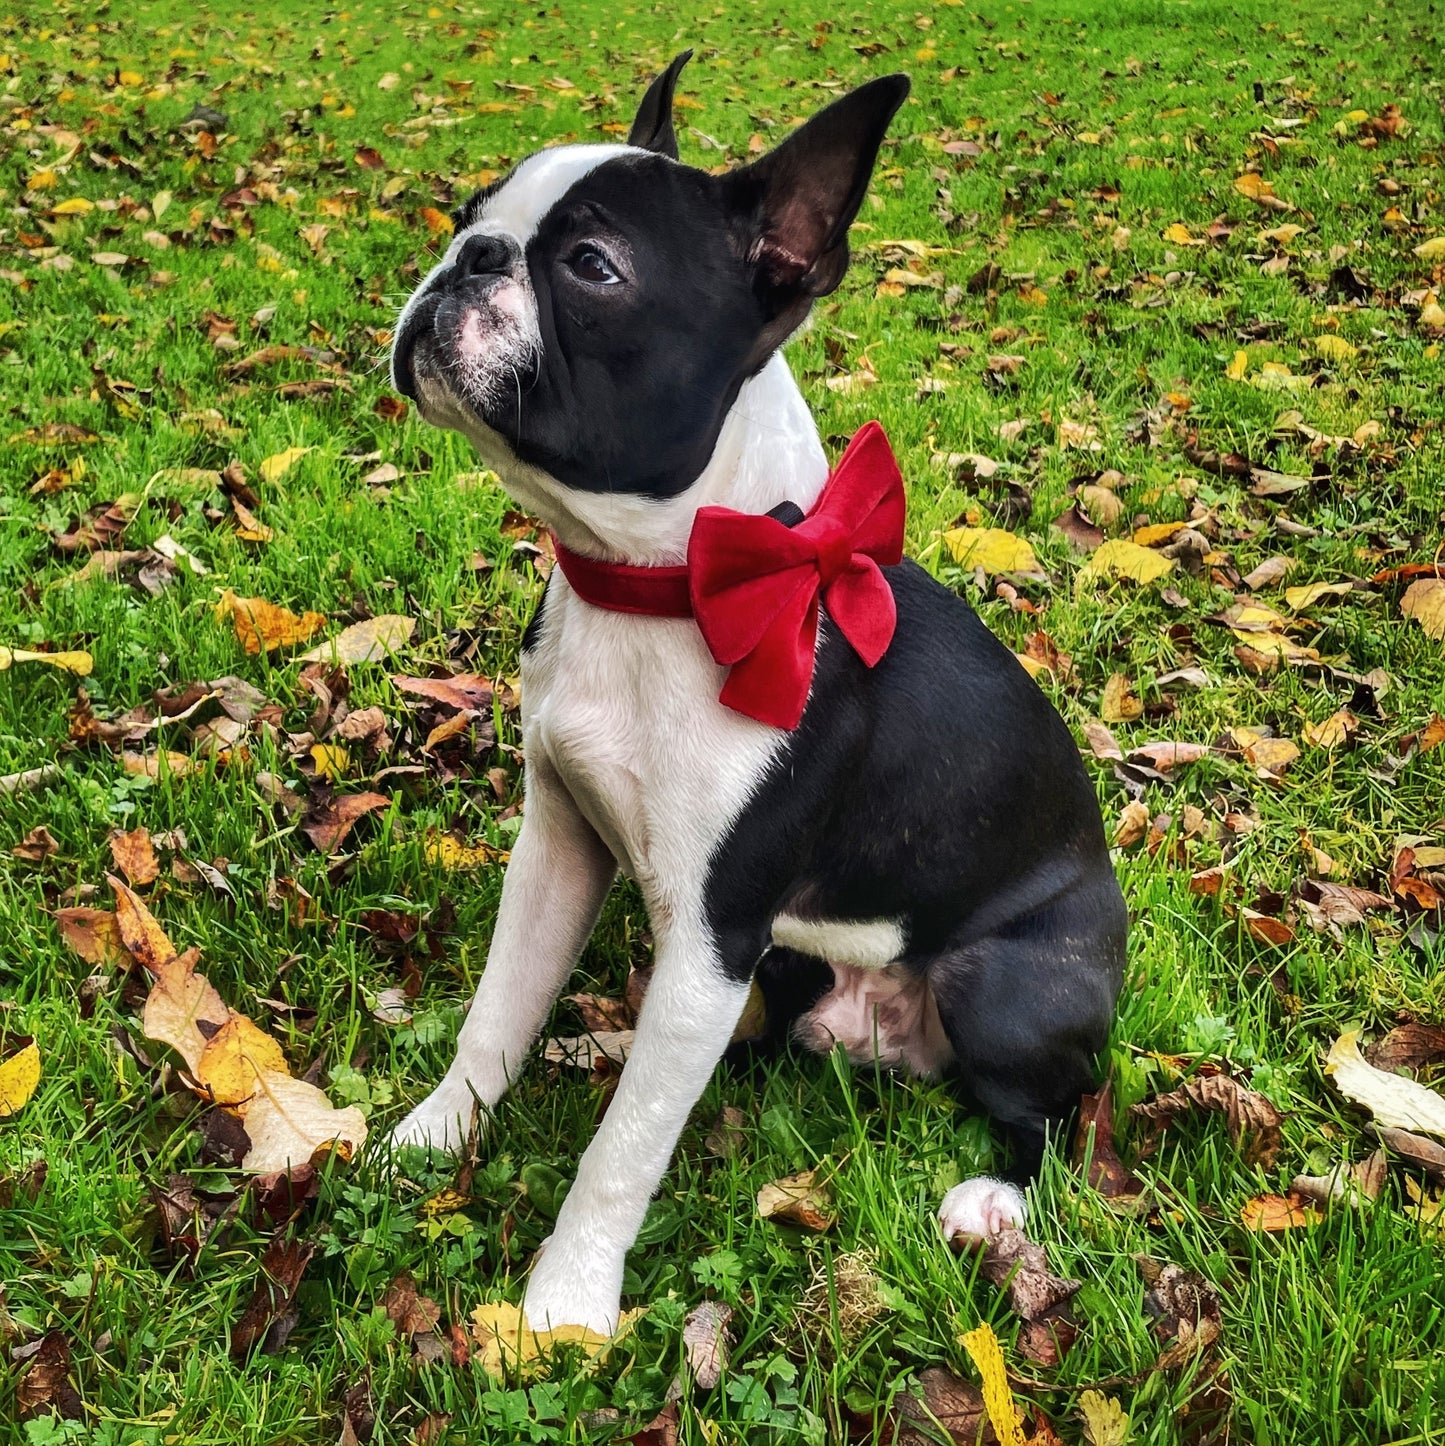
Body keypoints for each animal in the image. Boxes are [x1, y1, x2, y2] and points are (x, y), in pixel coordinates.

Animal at [390, 50, 1122, 1330]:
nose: (468, 256)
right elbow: (496, 1011)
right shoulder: (557, 847)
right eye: (471, 211)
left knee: (1053, 1113)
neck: (660, 588)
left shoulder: (711, 939)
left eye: (591, 265)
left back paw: (992, 1196)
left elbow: (624, 1148)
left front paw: (565, 1304)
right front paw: (438, 1131)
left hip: (996, 980)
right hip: (785, 974)